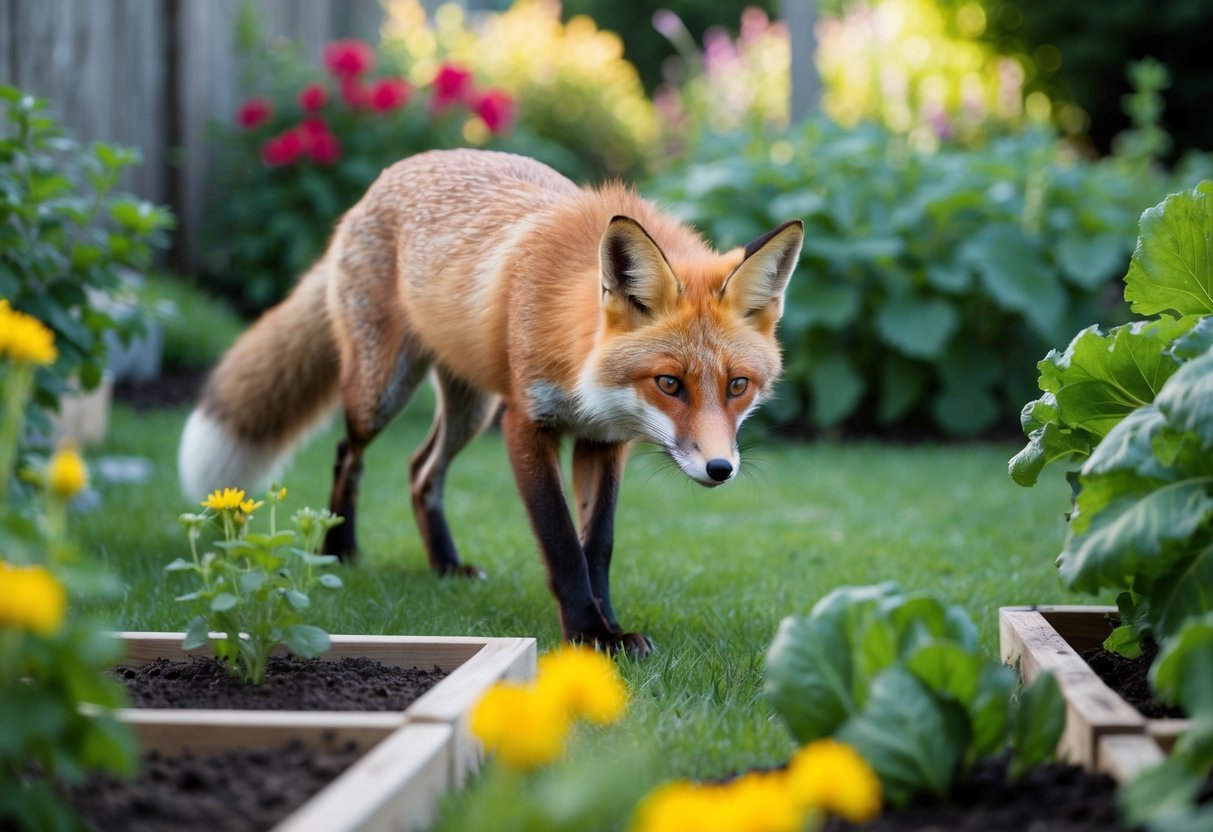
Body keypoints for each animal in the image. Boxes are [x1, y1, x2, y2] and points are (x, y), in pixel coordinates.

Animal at [179, 148, 803, 654]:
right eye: (670, 384)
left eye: (738, 386)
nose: (720, 469)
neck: (578, 365)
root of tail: (384, 179)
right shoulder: (526, 425)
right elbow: (561, 543)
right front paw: (588, 635)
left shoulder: (603, 442)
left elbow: (597, 545)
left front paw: (610, 625)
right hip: (382, 392)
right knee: (346, 454)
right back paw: (339, 550)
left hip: (470, 408)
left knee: (420, 470)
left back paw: (446, 566)